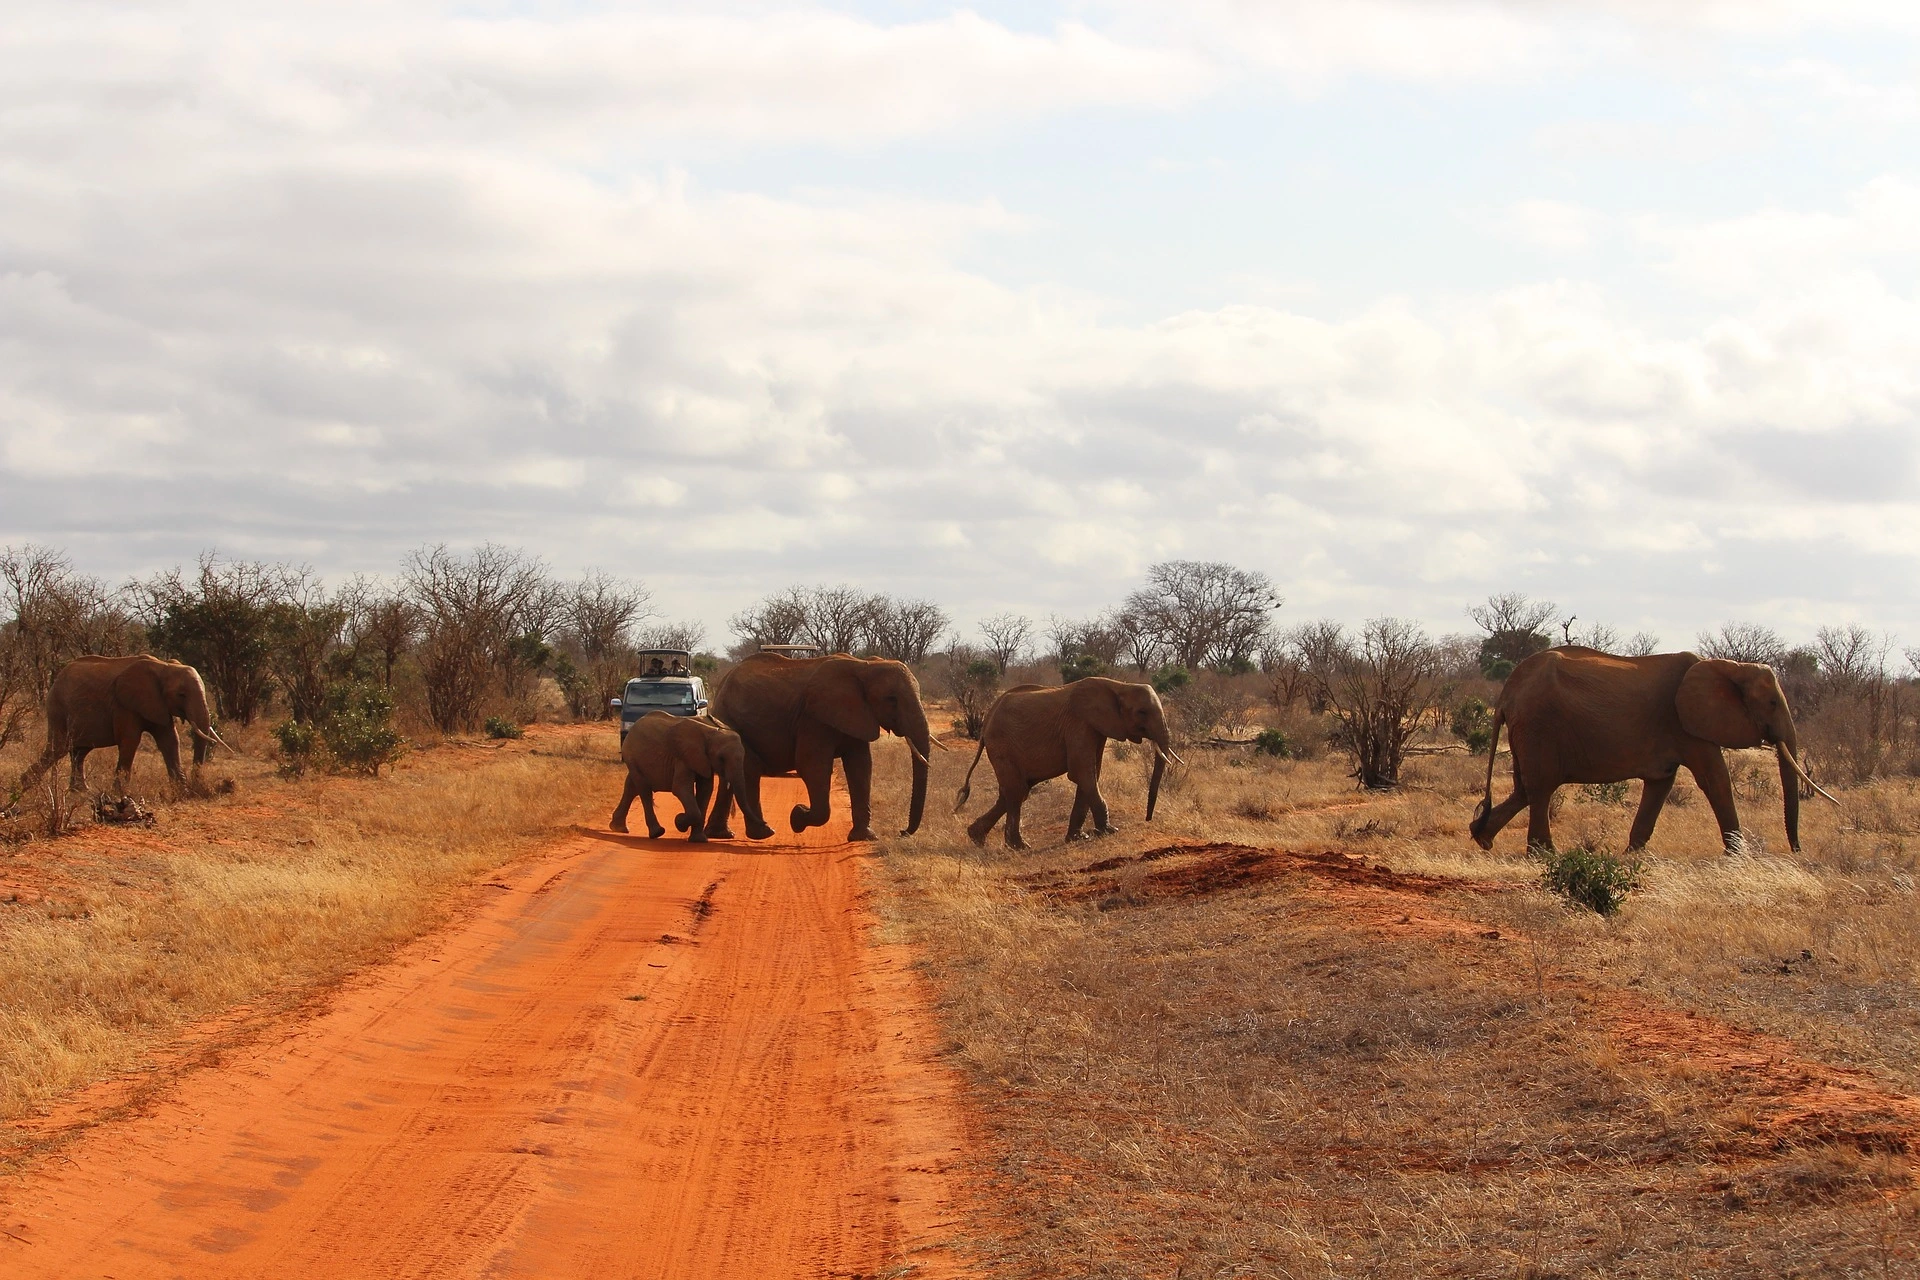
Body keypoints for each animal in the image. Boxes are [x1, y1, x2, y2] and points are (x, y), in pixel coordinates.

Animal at [15, 656, 226, 794]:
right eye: (181, 694)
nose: (199, 786)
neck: (165, 666)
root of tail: (57, 678)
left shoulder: (158, 704)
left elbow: (170, 741)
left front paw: (181, 790)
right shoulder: (124, 704)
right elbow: (130, 740)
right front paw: (120, 793)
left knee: (79, 751)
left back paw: (80, 791)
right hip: (57, 707)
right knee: (58, 748)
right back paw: (23, 785)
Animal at [606, 717, 771, 844]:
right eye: (721, 758)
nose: (767, 824)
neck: (711, 733)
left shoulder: (704, 760)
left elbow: (706, 790)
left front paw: (699, 840)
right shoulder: (683, 757)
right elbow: (680, 788)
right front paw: (679, 822)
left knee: (631, 787)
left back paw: (618, 827)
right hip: (632, 756)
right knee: (644, 791)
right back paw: (657, 832)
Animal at [706, 656, 929, 844]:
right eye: (891, 699)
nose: (902, 832)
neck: (864, 665)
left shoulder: (857, 716)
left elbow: (861, 766)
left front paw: (864, 838)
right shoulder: (813, 719)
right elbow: (812, 767)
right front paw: (797, 816)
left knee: (733, 775)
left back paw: (722, 834)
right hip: (731, 721)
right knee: (748, 770)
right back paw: (763, 833)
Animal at [952, 679, 1175, 852]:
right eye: (1142, 712)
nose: (1148, 819)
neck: (1119, 685)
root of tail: (986, 723)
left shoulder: (1095, 729)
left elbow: (1091, 774)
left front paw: (1078, 838)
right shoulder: (1079, 724)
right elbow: (1083, 773)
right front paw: (1109, 832)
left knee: (1013, 792)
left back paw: (976, 838)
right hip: (1002, 746)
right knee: (1015, 792)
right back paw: (1019, 847)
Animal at [1466, 644, 1827, 855]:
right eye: (1772, 703)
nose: (1797, 851)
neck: (1732, 666)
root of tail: (1507, 692)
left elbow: (1661, 783)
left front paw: (1633, 855)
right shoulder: (1685, 722)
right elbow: (1715, 779)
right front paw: (1739, 858)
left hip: (1528, 730)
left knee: (1524, 788)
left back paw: (1482, 837)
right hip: (1540, 724)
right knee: (1540, 788)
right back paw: (1543, 854)